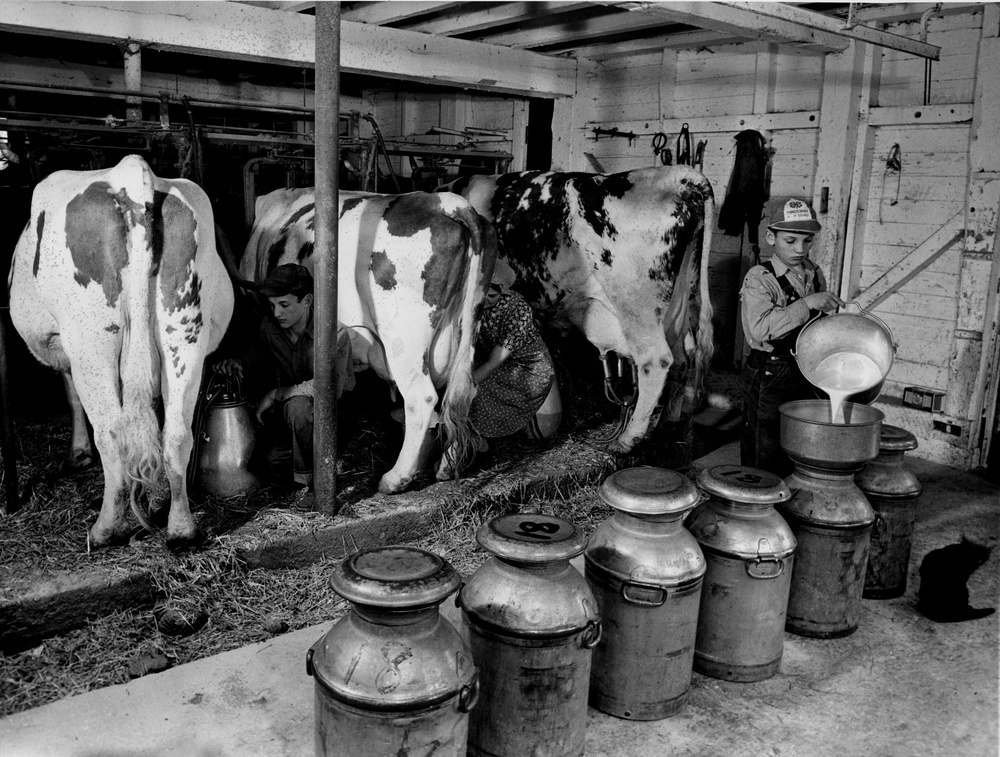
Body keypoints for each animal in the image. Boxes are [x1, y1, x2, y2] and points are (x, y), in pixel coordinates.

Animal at [9, 154, 236, 548]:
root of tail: (130, 172)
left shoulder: (64, 345)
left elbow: (71, 395)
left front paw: (77, 454)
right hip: (184, 331)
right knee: (176, 433)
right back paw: (182, 530)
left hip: (92, 339)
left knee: (112, 434)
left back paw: (106, 529)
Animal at [240, 188, 494, 494]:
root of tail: (447, 202)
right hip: (465, 328)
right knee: (462, 392)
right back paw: (447, 465)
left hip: (403, 339)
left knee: (422, 397)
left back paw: (394, 478)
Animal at [448, 164, 720, 448]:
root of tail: (675, 175)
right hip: (680, 306)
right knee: (683, 359)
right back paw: (667, 422)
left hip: (637, 306)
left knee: (656, 360)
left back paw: (627, 439)